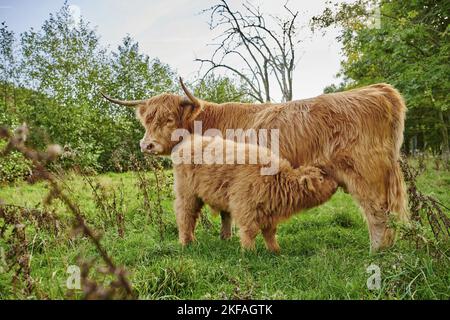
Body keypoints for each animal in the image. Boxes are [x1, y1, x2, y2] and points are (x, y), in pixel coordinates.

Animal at [172, 134, 338, 251]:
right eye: (321, 178)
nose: (336, 184)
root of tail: (188, 143)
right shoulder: (245, 206)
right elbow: (250, 230)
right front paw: (249, 251)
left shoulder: (269, 212)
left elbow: (270, 232)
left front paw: (275, 250)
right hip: (187, 194)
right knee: (185, 216)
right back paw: (187, 242)